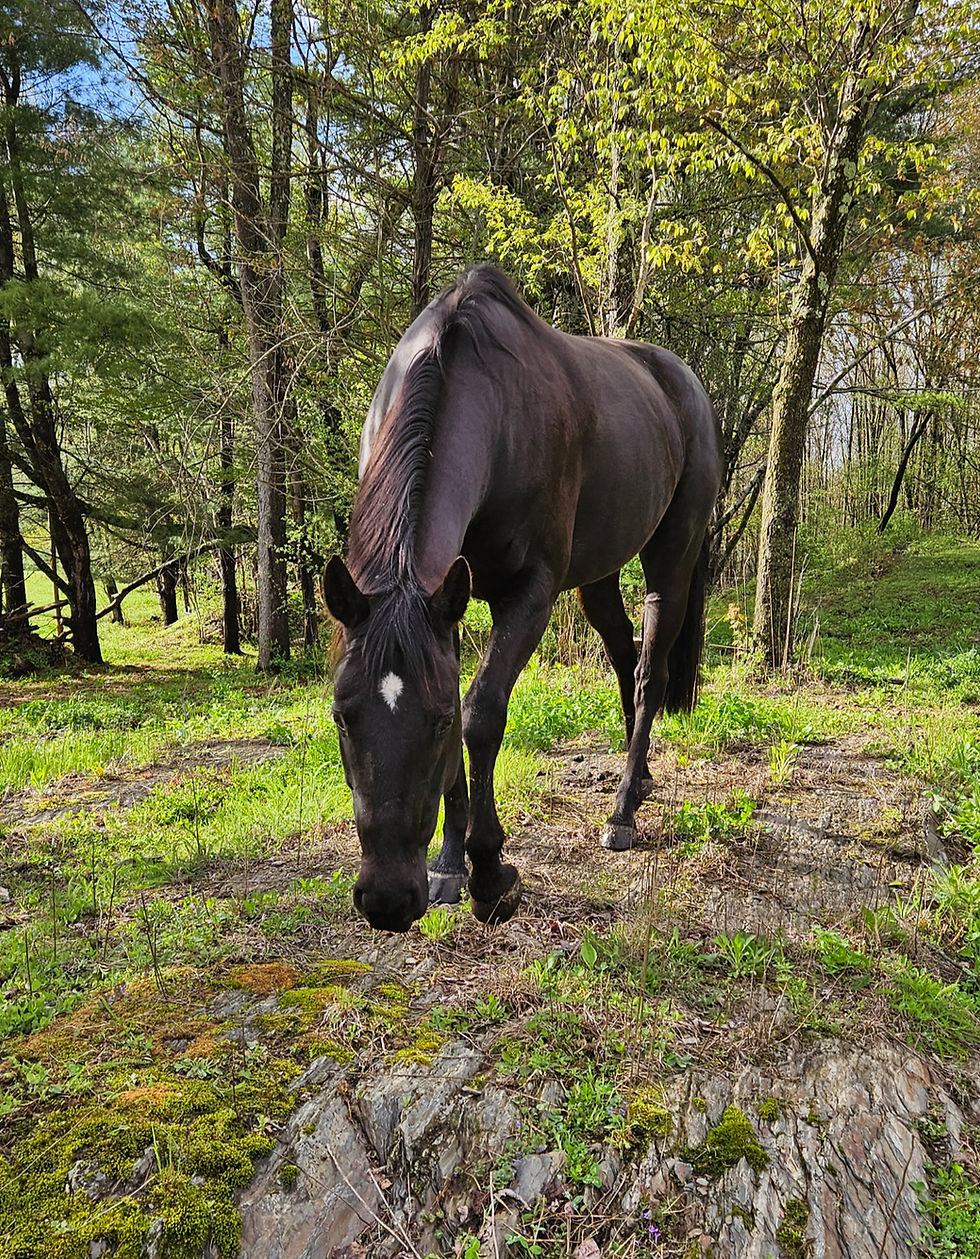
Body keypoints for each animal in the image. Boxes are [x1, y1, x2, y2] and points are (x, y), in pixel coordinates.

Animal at [323, 266, 722, 933]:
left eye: (436, 724)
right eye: (341, 717)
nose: (387, 901)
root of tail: (684, 382)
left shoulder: (528, 594)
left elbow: (482, 714)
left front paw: (489, 874)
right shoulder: (446, 605)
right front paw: (449, 864)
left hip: (671, 561)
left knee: (650, 674)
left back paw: (622, 813)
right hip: (596, 579)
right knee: (626, 660)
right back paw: (635, 782)